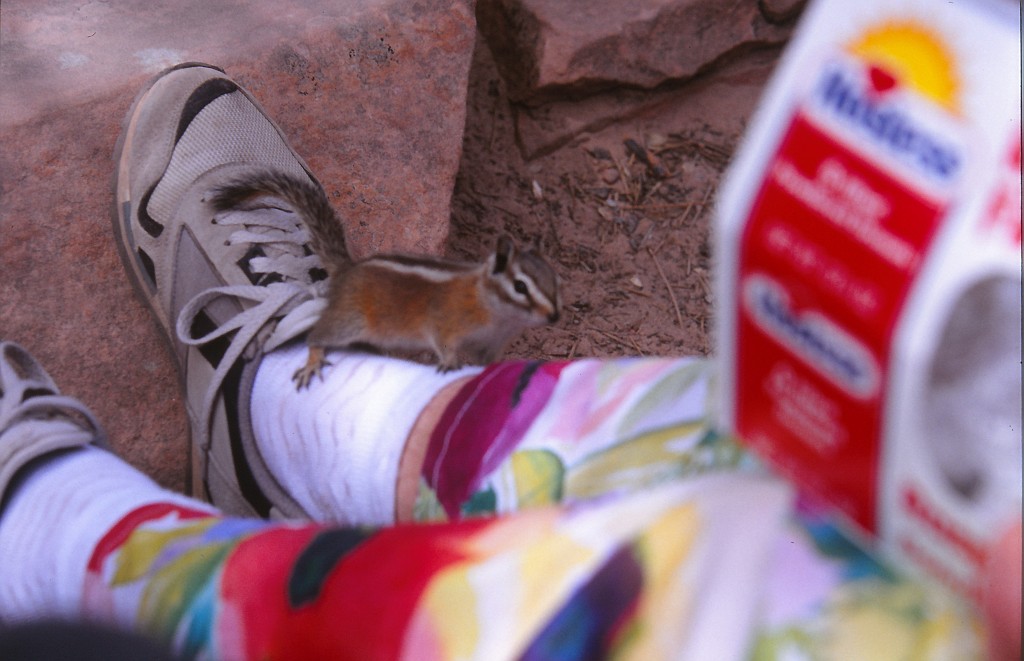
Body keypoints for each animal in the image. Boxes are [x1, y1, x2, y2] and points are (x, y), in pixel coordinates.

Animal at [207, 169, 561, 389]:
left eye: (556, 281)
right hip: (350, 321)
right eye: (520, 286)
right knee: (317, 336)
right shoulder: (445, 320)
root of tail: (348, 270)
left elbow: (487, 364)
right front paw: (448, 361)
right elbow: (442, 340)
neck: (494, 310)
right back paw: (313, 359)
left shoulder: (490, 344)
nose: (554, 317)